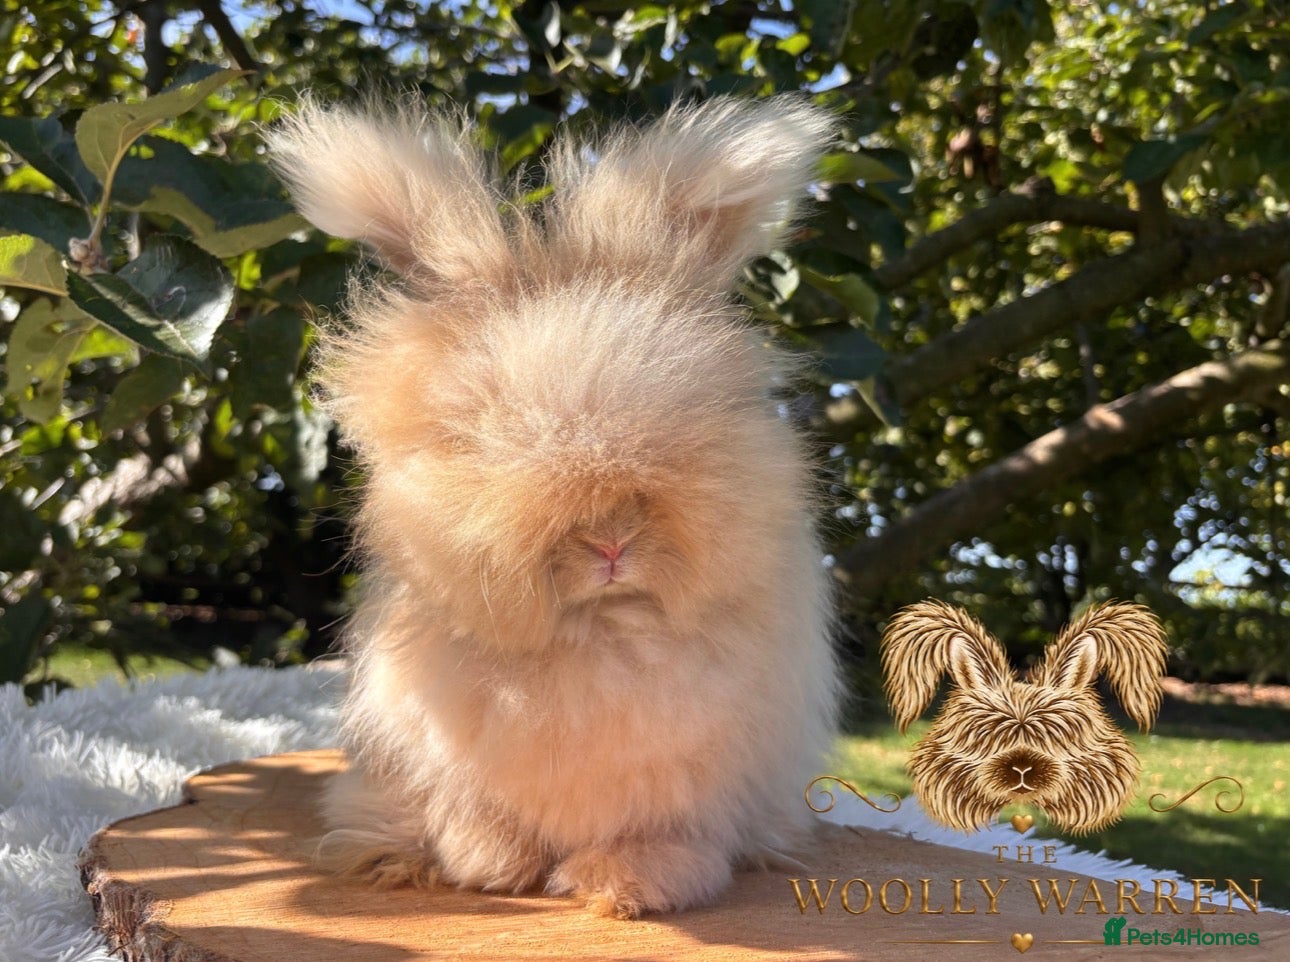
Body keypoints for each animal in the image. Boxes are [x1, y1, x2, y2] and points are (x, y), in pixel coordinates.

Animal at [264, 94, 841, 919]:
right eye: (476, 431)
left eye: (705, 414)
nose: (610, 543)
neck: (597, 635)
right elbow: (480, 820)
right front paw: (488, 866)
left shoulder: (694, 781)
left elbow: (661, 834)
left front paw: (628, 885)